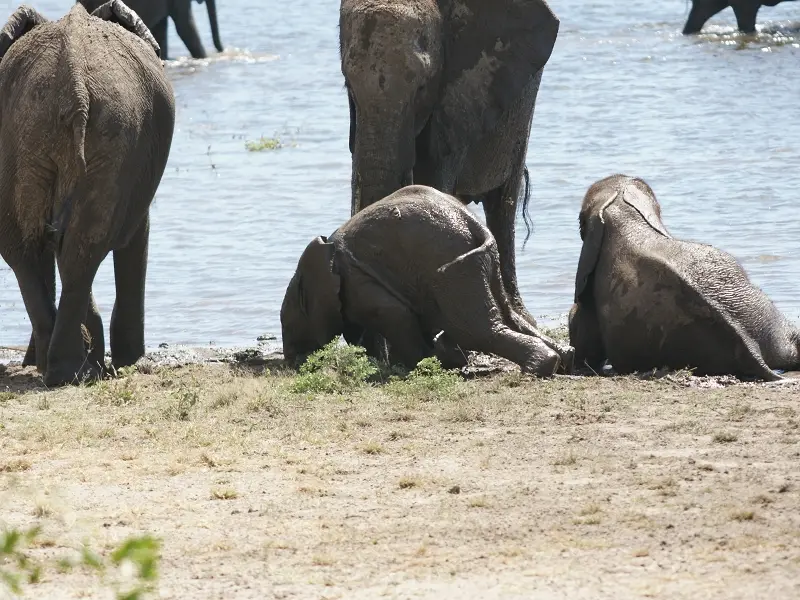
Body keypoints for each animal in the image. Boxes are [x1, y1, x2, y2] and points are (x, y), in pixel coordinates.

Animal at [0, 2, 175, 386]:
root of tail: (74, 82)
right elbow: (135, 234)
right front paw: (128, 359)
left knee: (31, 245)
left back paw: (62, 368)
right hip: (112, 134)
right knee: (77, 245)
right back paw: (73, 369)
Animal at [280, 185, 575, 377]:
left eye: (290, 325)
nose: (293, 364)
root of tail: (473, 222)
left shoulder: (357, 281)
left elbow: (394, 315)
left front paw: (429, 362)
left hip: (454, 269)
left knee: (475, 329)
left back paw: (538, 369)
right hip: (486, 263)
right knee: (507, 315)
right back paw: (564, 358)